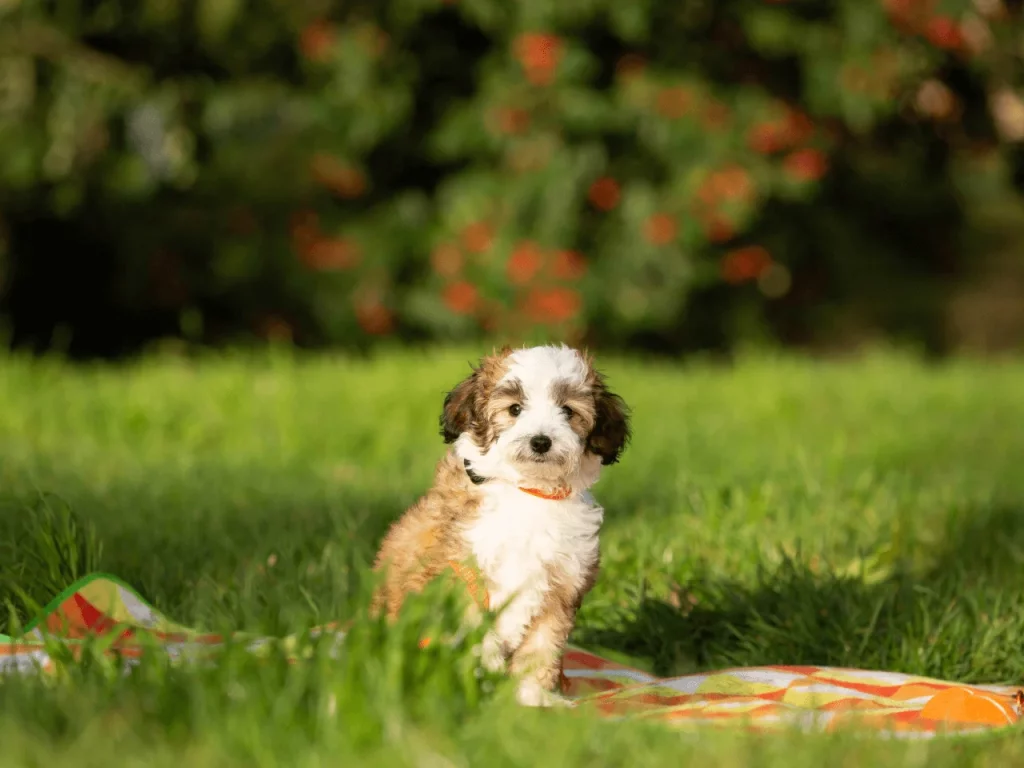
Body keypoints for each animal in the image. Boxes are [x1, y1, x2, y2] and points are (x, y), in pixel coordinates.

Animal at [372, 346, 626, 708]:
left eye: (568, 411)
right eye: (515, 409)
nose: (540, 441)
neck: (528, 492)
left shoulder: (560, 590)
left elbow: (541, 650)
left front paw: (533, 698)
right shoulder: (463, 574)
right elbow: (478, 639)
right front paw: (482, 690)